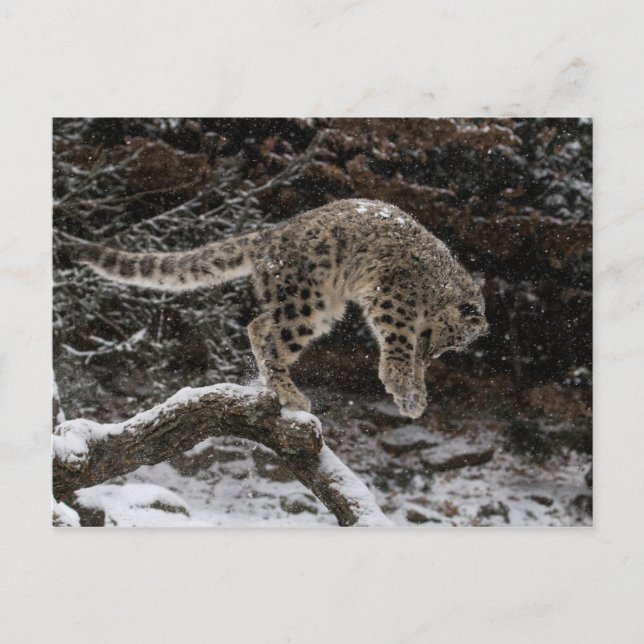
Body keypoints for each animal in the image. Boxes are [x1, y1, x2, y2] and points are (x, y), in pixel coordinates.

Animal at [70, 198, 488, 419]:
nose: (436, 353)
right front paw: (401, 384)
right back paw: (291, 395)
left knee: (259, 325)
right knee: (271, 336)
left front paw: (415, 397)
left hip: (321, 306)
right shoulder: (395, 302)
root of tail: (269, 235)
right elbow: (399, 344)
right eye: (454, 339)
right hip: (306, 301)